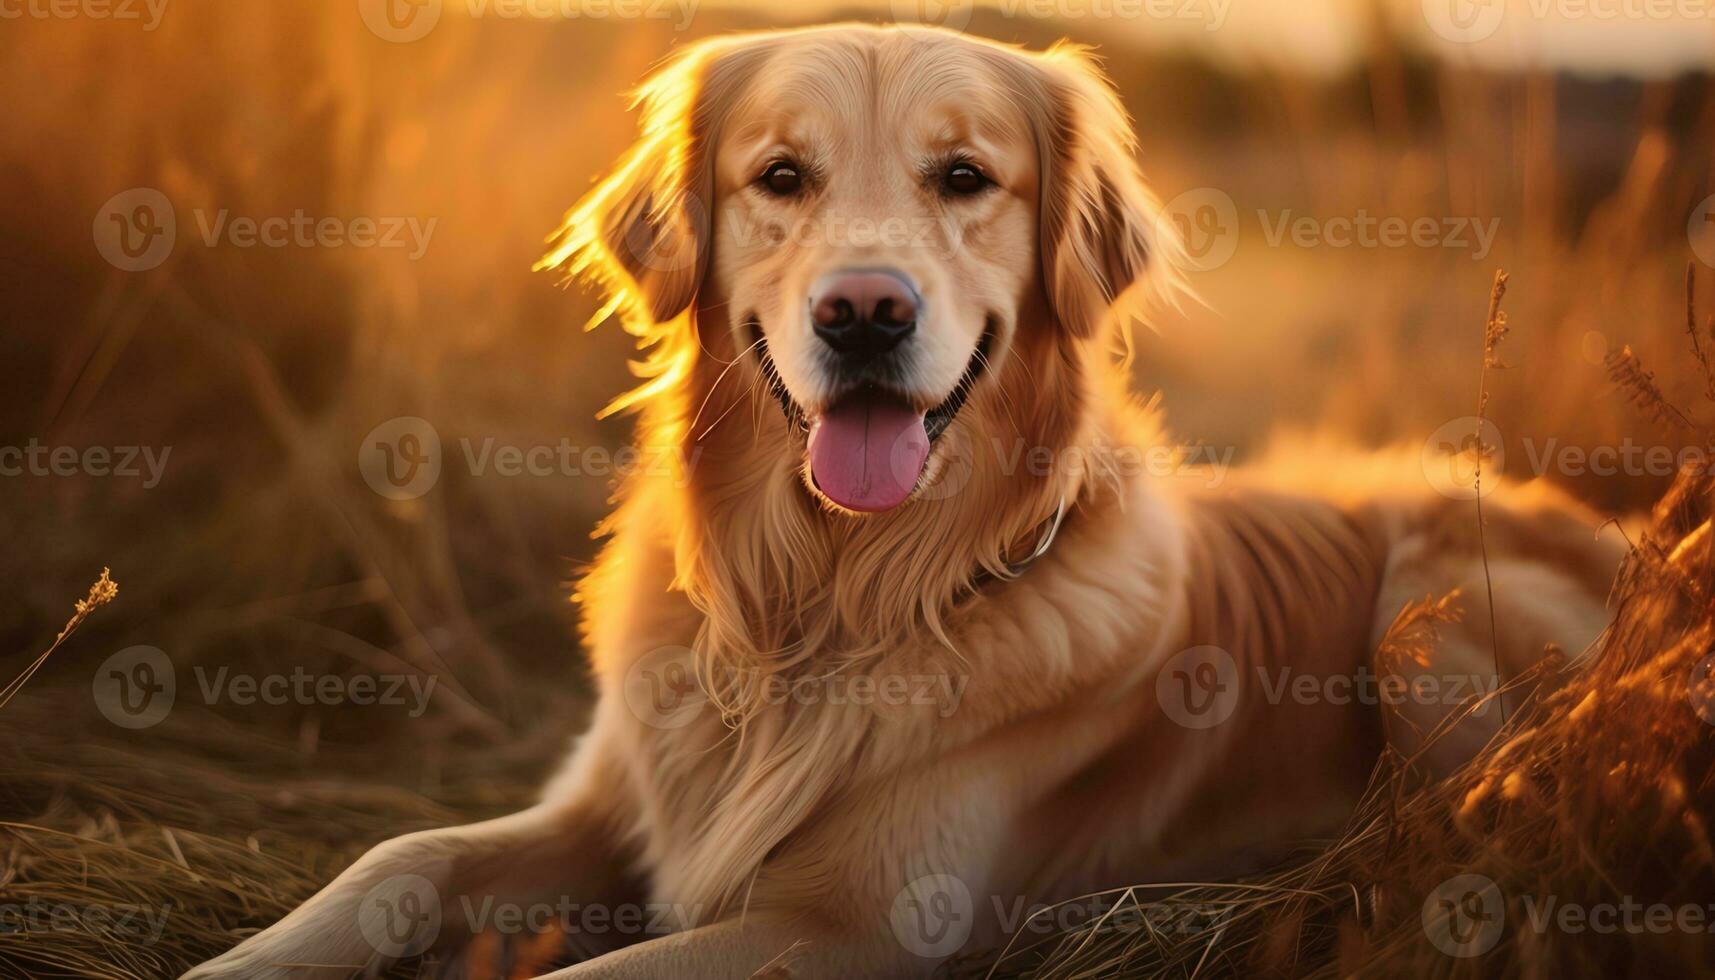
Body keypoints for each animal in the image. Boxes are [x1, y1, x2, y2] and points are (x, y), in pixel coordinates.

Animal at [187, 22, 1618, 980]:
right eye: (780, 176)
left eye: (964, 178)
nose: (865, 312)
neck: (819, 599)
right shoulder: (607, 805)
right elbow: (399, 857)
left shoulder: (848, 923)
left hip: (1425, 615)